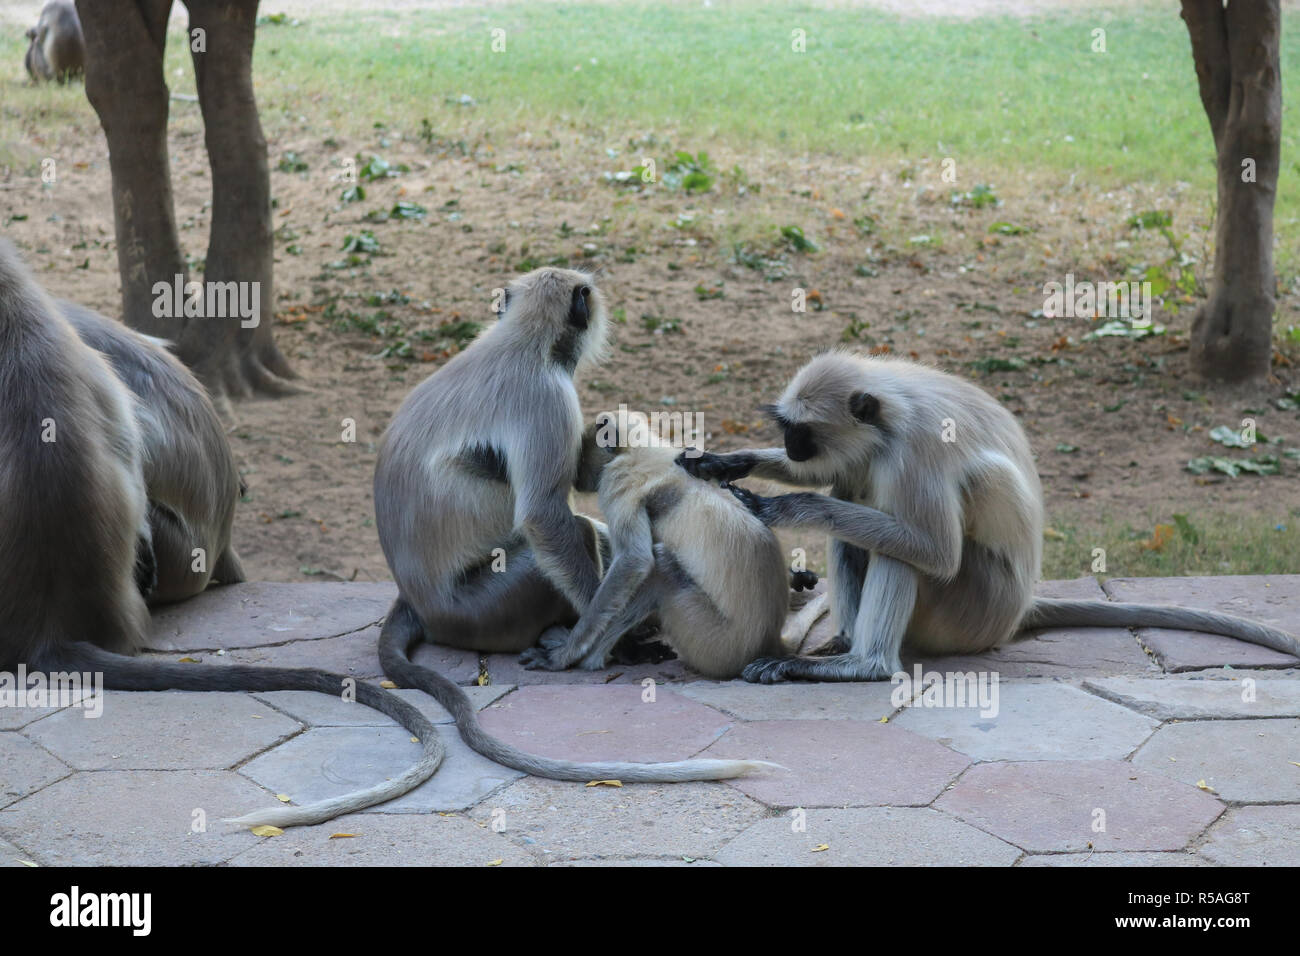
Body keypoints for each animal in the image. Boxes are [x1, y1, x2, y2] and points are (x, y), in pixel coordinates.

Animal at [377, 269, 774, 785]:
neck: (520, 340)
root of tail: (417, 601)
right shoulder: (548, 398)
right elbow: (545, 516)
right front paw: (610, 644)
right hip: (485, 607)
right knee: (577, 531)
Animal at [522, 411, 816, 681]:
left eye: (582, 457)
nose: (576, 476)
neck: (643, 450)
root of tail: (770, 640)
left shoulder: (615, 484)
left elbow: (634, 561)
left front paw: (563, 656)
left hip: (710, 641)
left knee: (661, 566)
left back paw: (593, 659)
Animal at [681, 351, 1300, 681]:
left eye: (801, 433)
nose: (790, 444)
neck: (891, 414)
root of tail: (1020, 605)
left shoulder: (918, 448)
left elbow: (933, 551)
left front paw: (786, 506)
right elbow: (835, 475)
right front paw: (725, 461)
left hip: (972, 607)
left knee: (906, 550)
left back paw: (865, 663)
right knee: (854, 524)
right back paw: (844, 644)